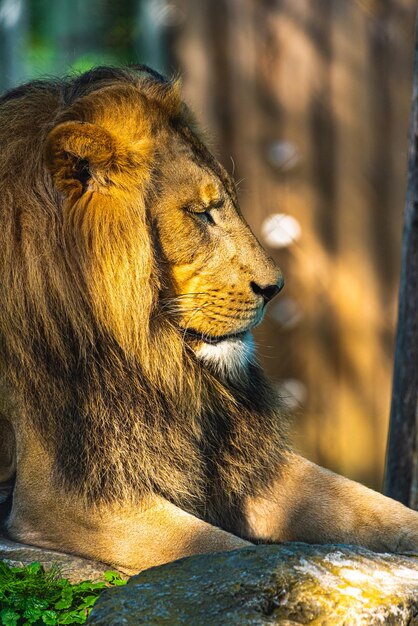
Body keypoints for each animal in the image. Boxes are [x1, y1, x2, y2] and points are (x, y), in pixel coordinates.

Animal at [0, 64, 416, 572]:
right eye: (201, 214)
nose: (275, 288)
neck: (147, 357)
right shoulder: (65, 494)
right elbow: (221, 551)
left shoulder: (245, 460)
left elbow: (379, 509)